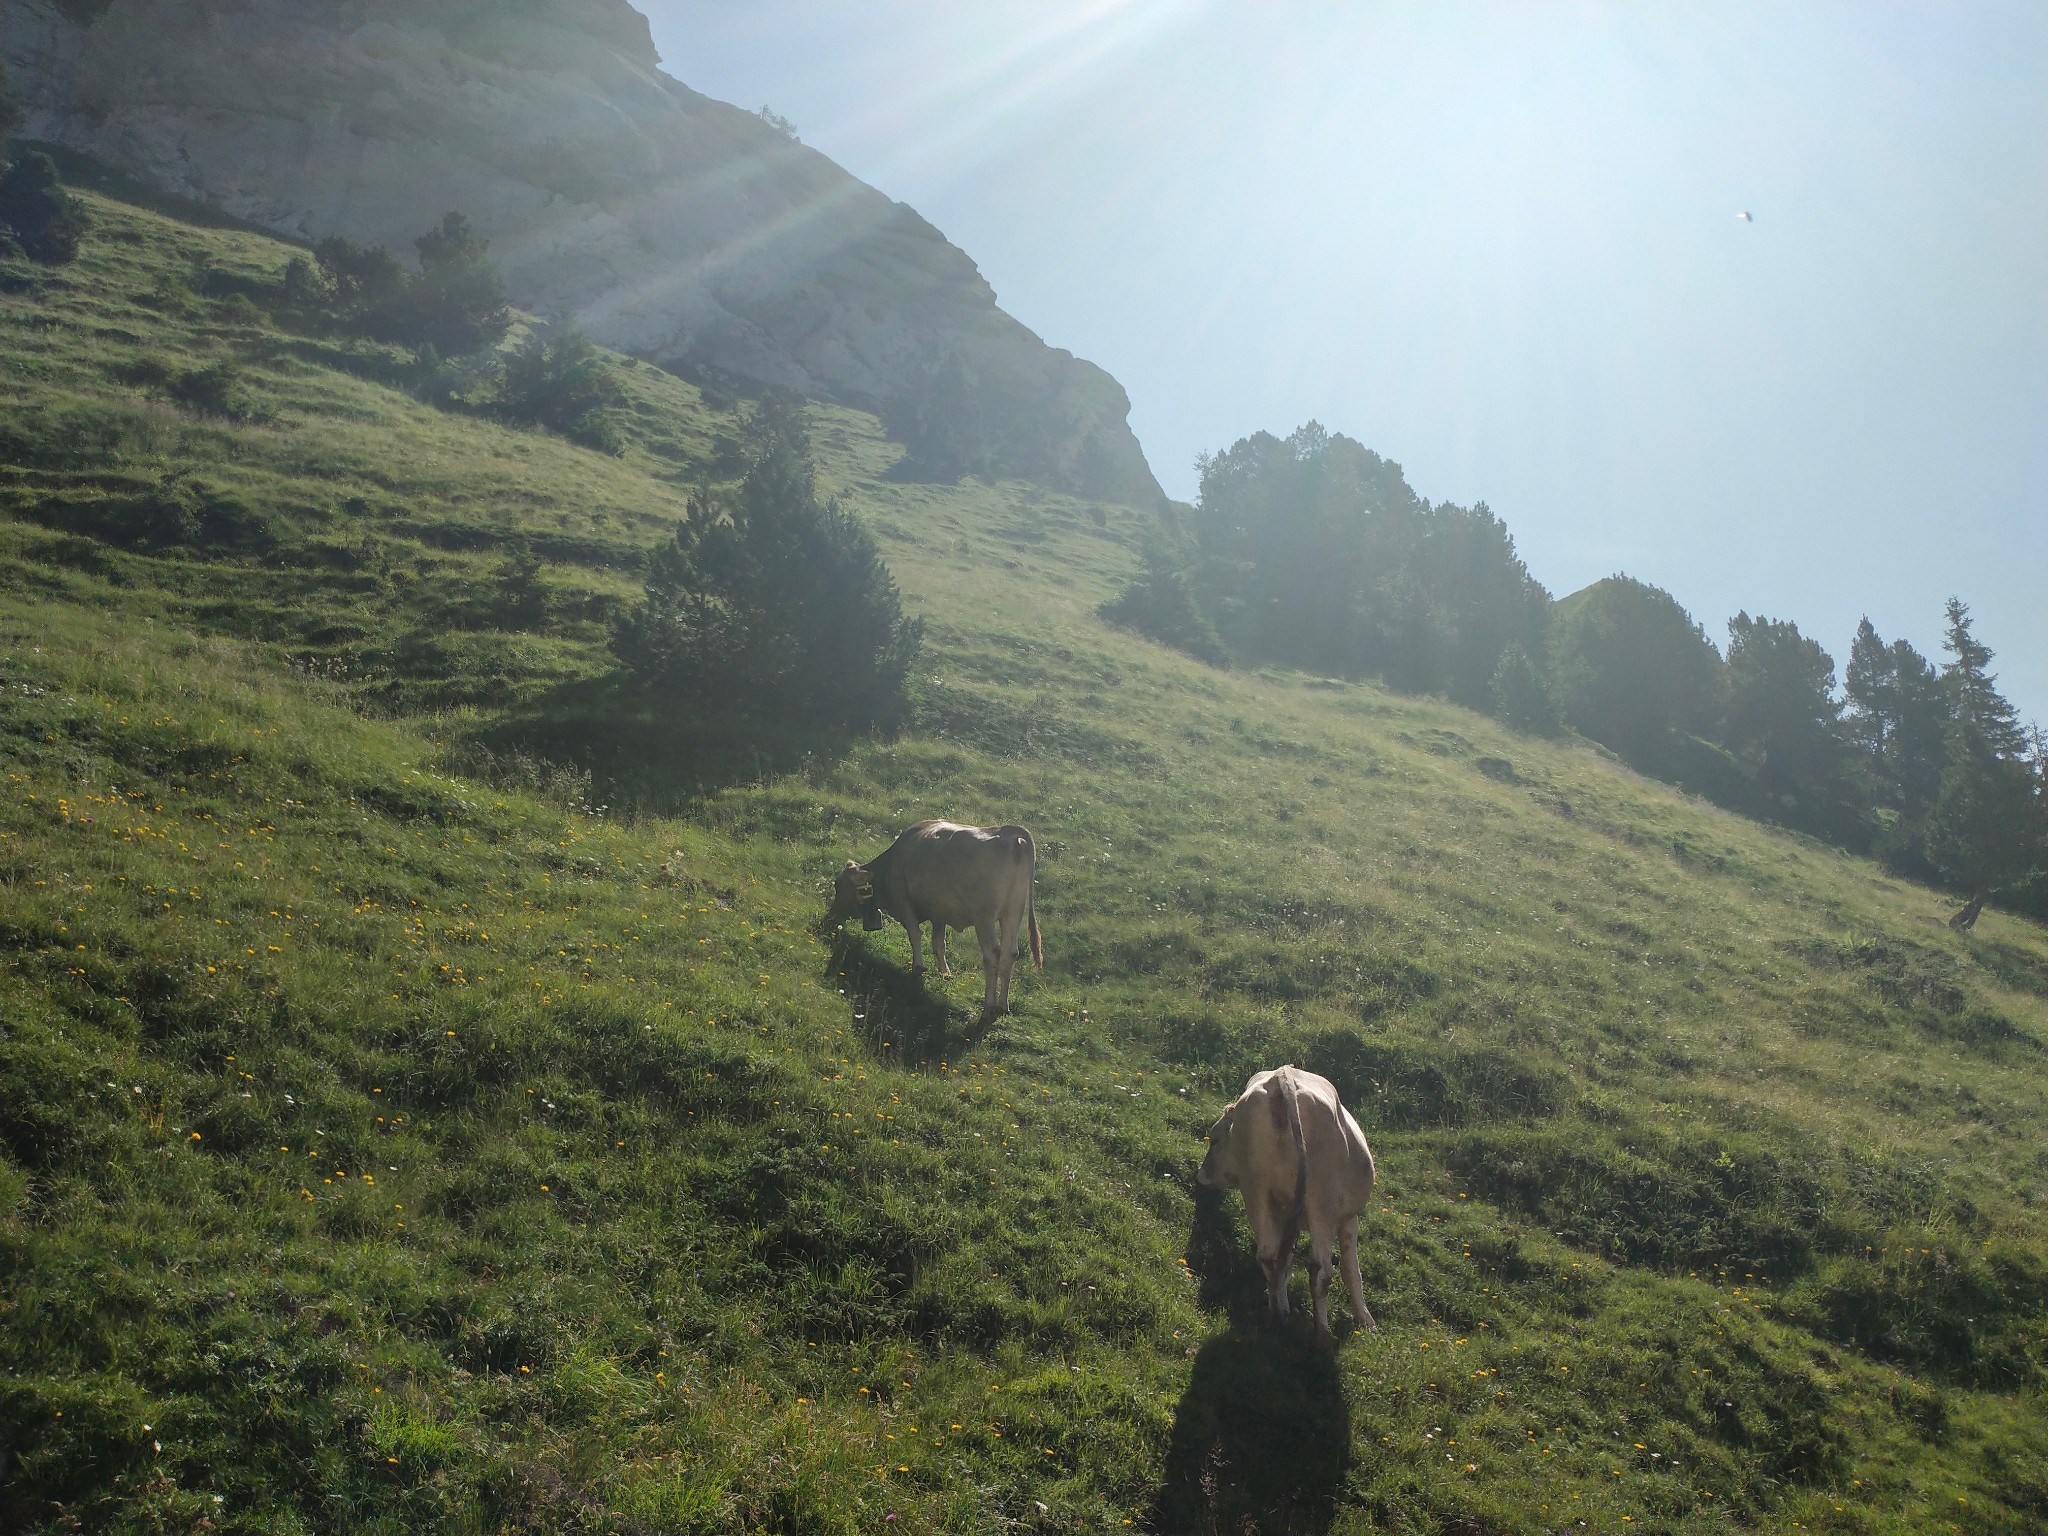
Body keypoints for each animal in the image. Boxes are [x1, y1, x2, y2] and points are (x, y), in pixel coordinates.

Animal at [819, 823, 1040, 1028]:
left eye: (840, 886)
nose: (828, 920)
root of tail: (1007, 831)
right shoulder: (939, 914)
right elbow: (938, 943)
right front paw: (945, 973)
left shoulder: (904, 902)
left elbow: (915, 934)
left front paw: (918, 967)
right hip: (1012, 913)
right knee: (1010, 953)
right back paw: (1002, 1005)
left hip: (984, 918)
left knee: (993, 955)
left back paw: (988, 1009)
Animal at [1196, 1073, 1376, 1343]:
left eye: (1214, 1140)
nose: (1200, 1175)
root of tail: (1281, 1079)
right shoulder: (1347, 1218)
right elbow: (1351, 1270)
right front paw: (1366, 1320)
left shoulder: (1283, 1216)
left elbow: (1286, 1259)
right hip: (1321, 1202)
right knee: (1321, 1271)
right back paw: (1322, 1336)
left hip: (1256, 1191)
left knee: (1268, 1257)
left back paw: (1277, 1314)